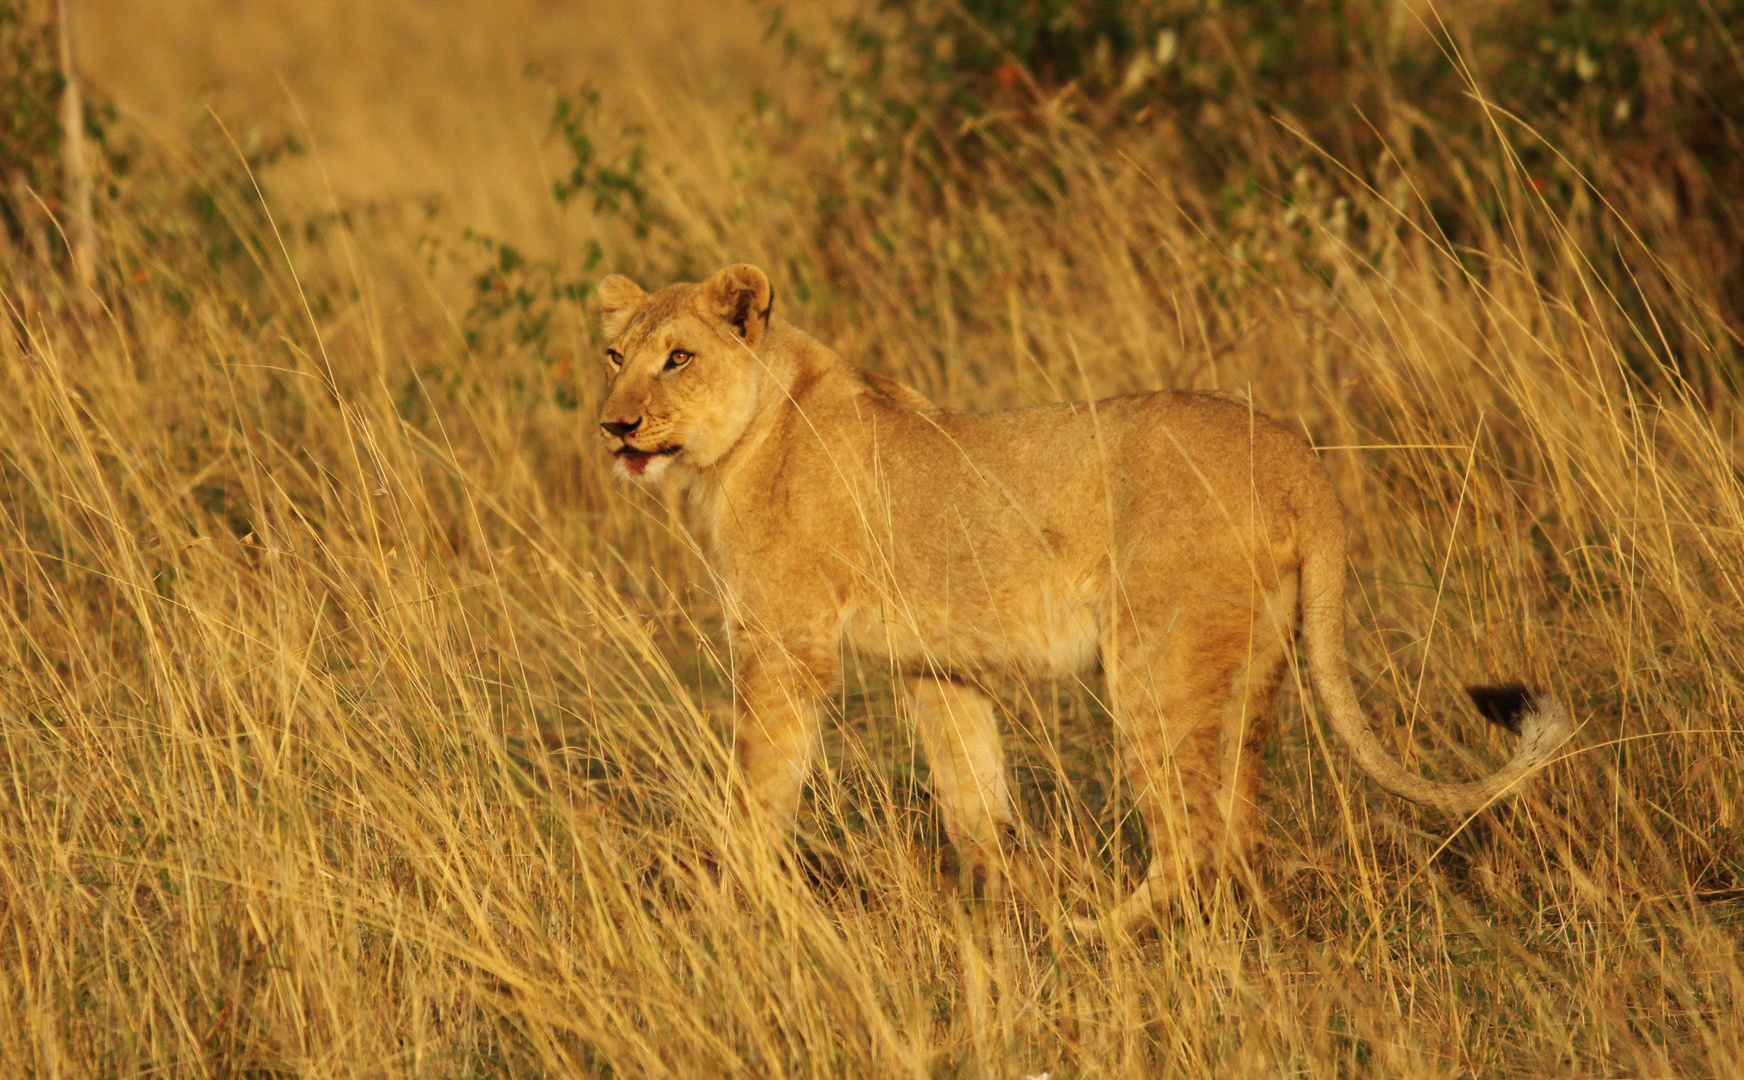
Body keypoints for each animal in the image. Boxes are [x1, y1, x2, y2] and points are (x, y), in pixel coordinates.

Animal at [592, 266, 1576, 935]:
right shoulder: (935, 668)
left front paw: (733, 909)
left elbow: (757, 790)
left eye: (678, 358)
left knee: (1191, 833)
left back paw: (1102, 932)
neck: (739, 443)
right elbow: (976, 800)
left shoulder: (785, 647)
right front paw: (1009, 907)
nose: (614, 425)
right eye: (613, 355)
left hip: (1153, 663)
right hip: (1258, 667)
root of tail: (1298, 458)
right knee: (1240, 821)